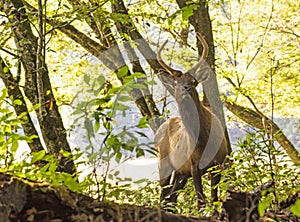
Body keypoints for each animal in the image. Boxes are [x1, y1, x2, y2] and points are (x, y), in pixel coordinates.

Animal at [155, 32, 227, 209]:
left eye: (194, 82)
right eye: (177, 82)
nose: (185, 88)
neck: (204, 140)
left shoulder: (219, 163)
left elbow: (214, 198)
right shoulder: (194, 165)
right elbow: (201, 200)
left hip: (180, 172)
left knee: (171, 197)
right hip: (163, 163)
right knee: (163, 195)